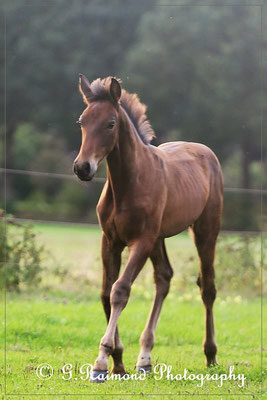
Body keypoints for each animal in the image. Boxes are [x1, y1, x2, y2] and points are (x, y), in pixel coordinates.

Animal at [73, 74, 224, 382]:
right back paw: (144, 358)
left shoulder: (140, 241)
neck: (128, 183)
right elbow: (105, 293)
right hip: (159, 238)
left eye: (110, 123)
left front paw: (101, 362)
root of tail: (206, 152)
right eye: (82, 121)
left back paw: (210, 355)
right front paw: (119, 362)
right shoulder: (110, 241)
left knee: (208, 287)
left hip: (204, 230)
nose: (82, 168)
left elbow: (120, 290)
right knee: (164, 278)